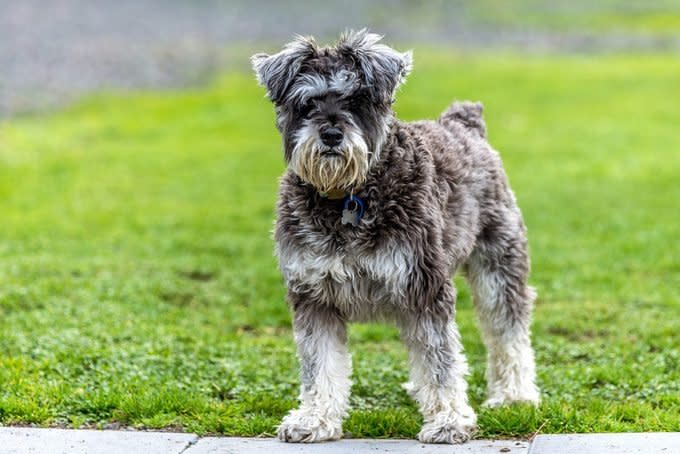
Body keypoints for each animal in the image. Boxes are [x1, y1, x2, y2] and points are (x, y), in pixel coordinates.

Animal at [252, 30, 540, 446]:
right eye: (306, 103)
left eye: (358, 100)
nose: (331, 134)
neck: (348, 197)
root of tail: (464, 124)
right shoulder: (313, 296)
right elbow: (319, 364)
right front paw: (314, 419)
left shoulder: (425, 289)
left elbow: (440, 360)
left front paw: (448, 420)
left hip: (498, 266)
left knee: (507, 330)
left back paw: (515, 395)